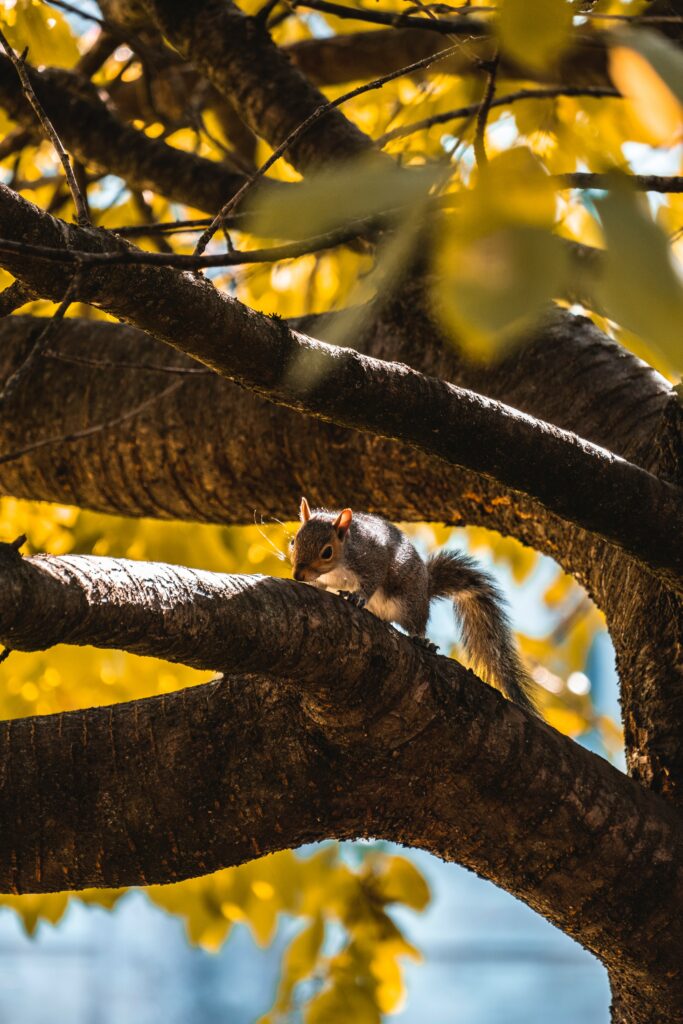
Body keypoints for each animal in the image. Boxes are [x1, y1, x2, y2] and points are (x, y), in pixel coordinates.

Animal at [290, 497, 539, 716]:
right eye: (294, 542)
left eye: (327, 552)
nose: (298, 575)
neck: (338, 565)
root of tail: (426, 588)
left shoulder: (373, 560)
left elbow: (371, 582)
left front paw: (357, 597)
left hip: (411, 603)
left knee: (417, 623)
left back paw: (422, 639)